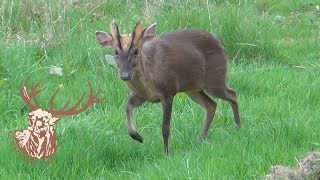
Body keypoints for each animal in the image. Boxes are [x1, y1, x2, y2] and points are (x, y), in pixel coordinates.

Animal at [95, 21, 240, 153]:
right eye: (116, 52)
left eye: (136, 51)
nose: (125, 75)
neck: (150, 79)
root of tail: (220, 42)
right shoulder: (140, 95)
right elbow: (127, 107)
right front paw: (139, 137)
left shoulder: (168, 91)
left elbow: (165, 127)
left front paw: (166, 152)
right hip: (193, 88)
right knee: (211, 104)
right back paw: (200, 138)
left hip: (215, 78)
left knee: (232, 94)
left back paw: (238, 128)